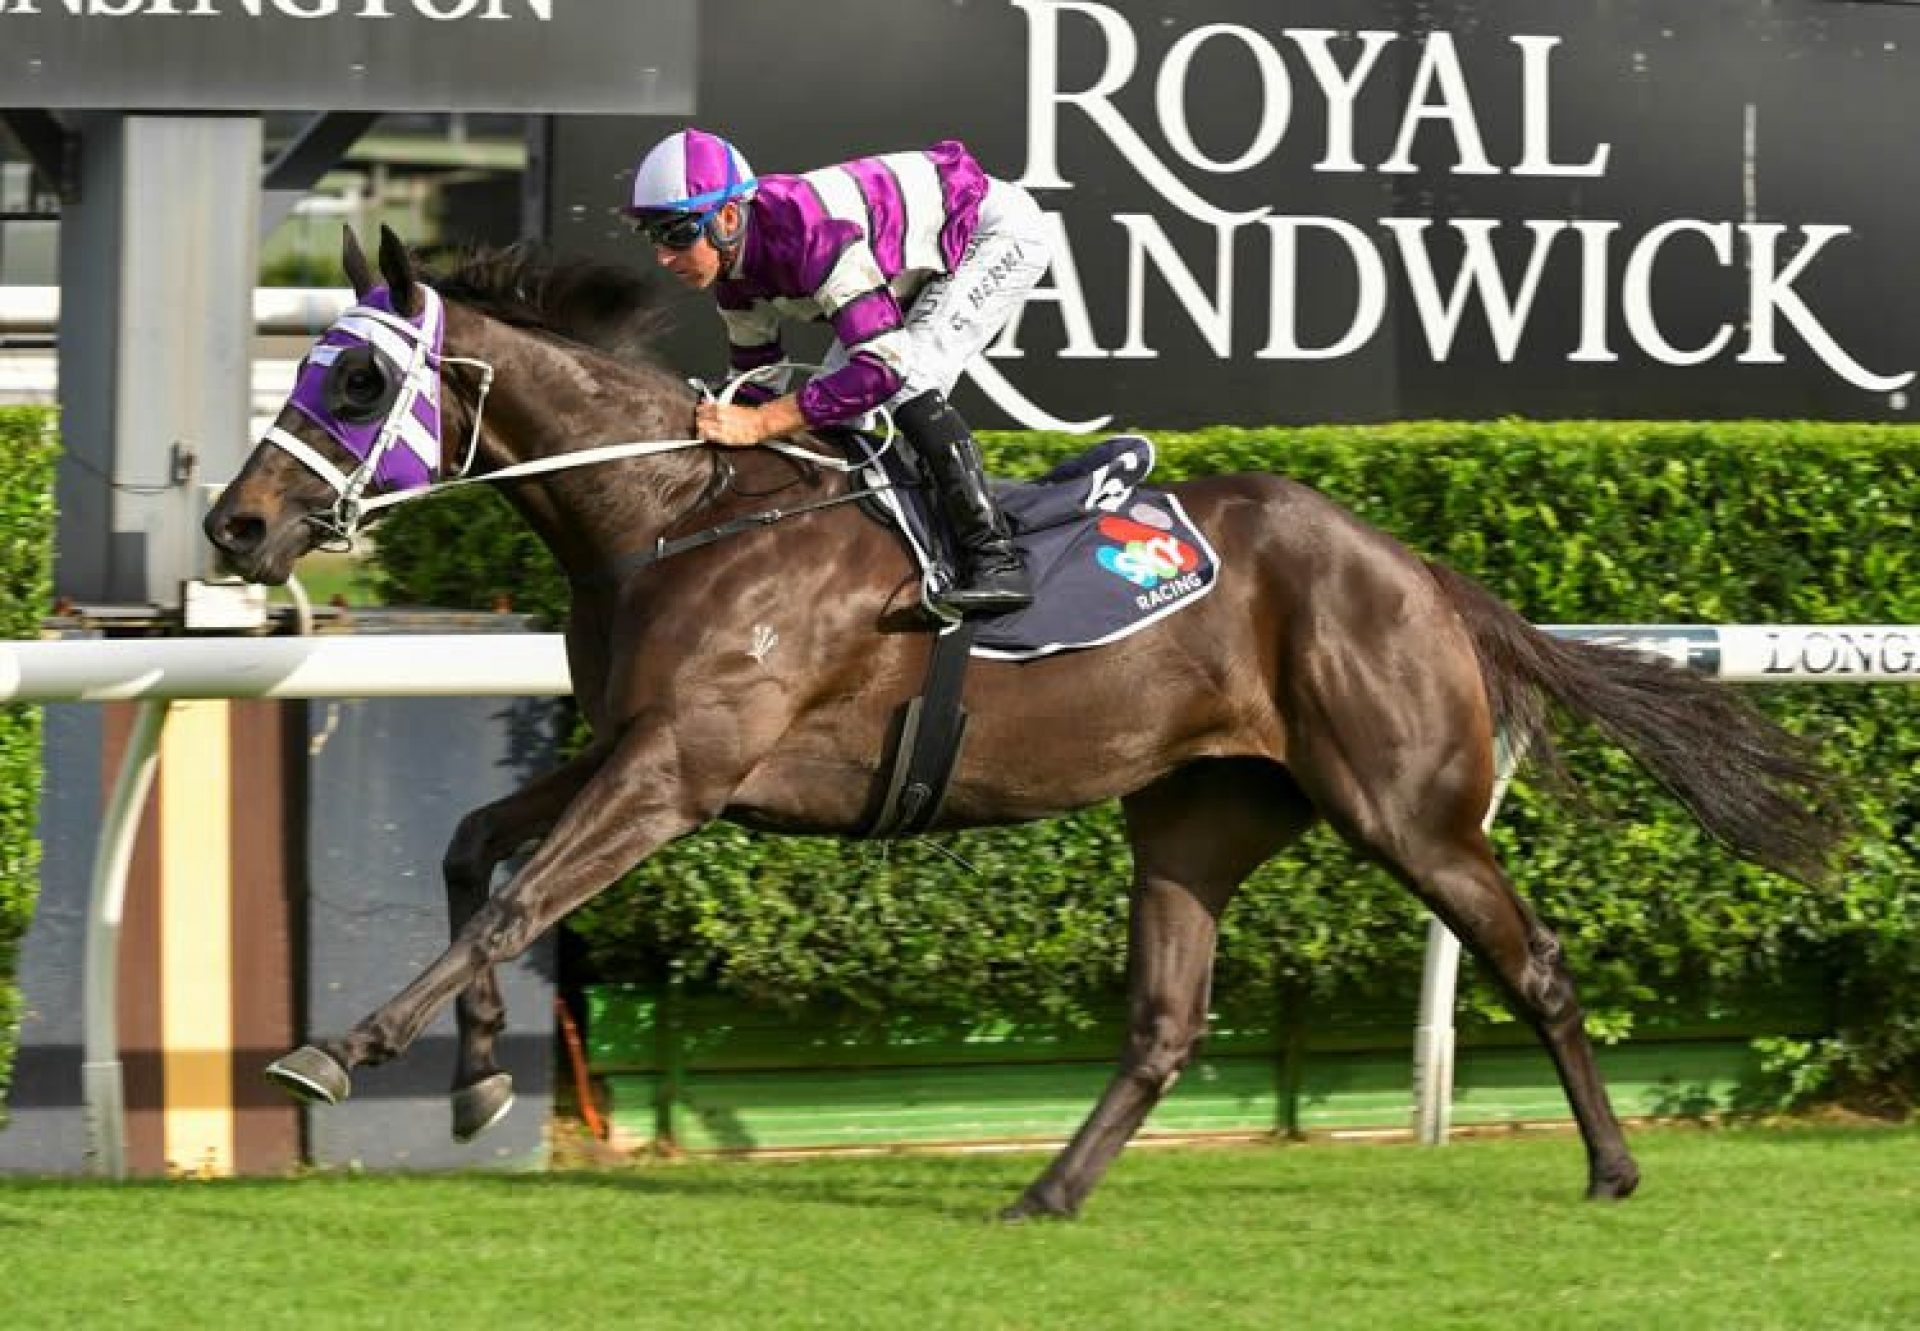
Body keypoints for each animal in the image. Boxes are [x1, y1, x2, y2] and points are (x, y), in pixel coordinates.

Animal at [202, 228, 1835, 1213]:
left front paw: (340, 1051)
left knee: (1535, 960)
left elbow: (516, 895)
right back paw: (1047, 1187)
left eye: (357, 373)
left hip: (1407, 806)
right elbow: (473, 851)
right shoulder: (636, 748)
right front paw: (478, 1072)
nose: (236, 525)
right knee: (1164, 1021)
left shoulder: (684, 767)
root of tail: (1411, 562)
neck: (675, 511)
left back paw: (1614, 1166)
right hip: (1198, 814)